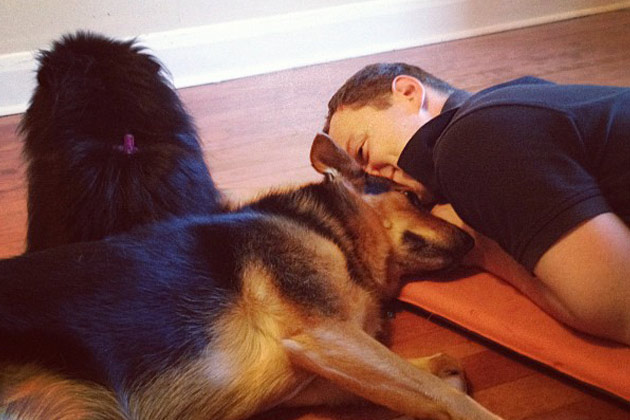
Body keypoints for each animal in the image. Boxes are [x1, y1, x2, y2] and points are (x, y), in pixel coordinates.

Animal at [0, 130, 502, 419]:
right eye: (414, 199)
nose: (473, 241)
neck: (330, 230)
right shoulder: (324, 334)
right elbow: (447, 396)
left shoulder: (319, 370)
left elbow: (430, 378)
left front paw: (443, 371)